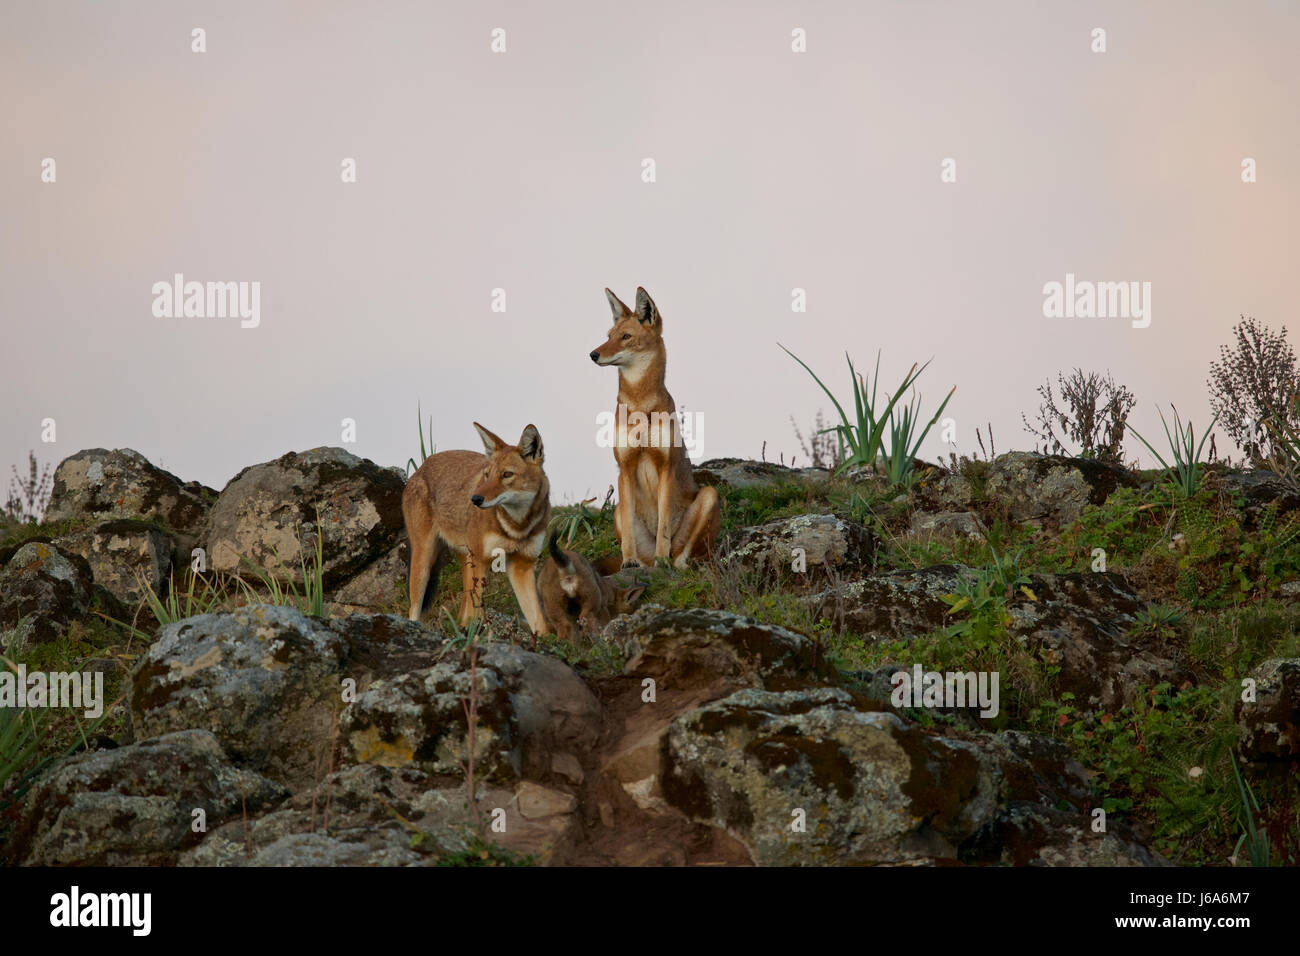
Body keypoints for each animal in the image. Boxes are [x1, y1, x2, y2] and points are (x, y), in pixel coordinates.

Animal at [403, 421, 551, 632]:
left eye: (507, 475)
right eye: (487, 475)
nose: (475, 499)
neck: (517, 525)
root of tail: (421, 467)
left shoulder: (522, 564)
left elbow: (538, 619)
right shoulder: (482, 559)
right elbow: (477, 611)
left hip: (466, 558)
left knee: (463, 608)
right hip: (424, 560)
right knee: (414, 609)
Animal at [590, 283, 722, 567]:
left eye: (626, 336)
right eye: (608, 335)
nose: (593, 354)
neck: (640, 404)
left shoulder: (665, 466)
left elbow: (663, 525)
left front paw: (662, 558)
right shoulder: (625, 468)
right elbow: (629, 535)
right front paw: (629, 561)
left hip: (709, 495)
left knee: (683, 556)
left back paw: (669, 563)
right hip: (618, 510)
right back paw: (643, 563)